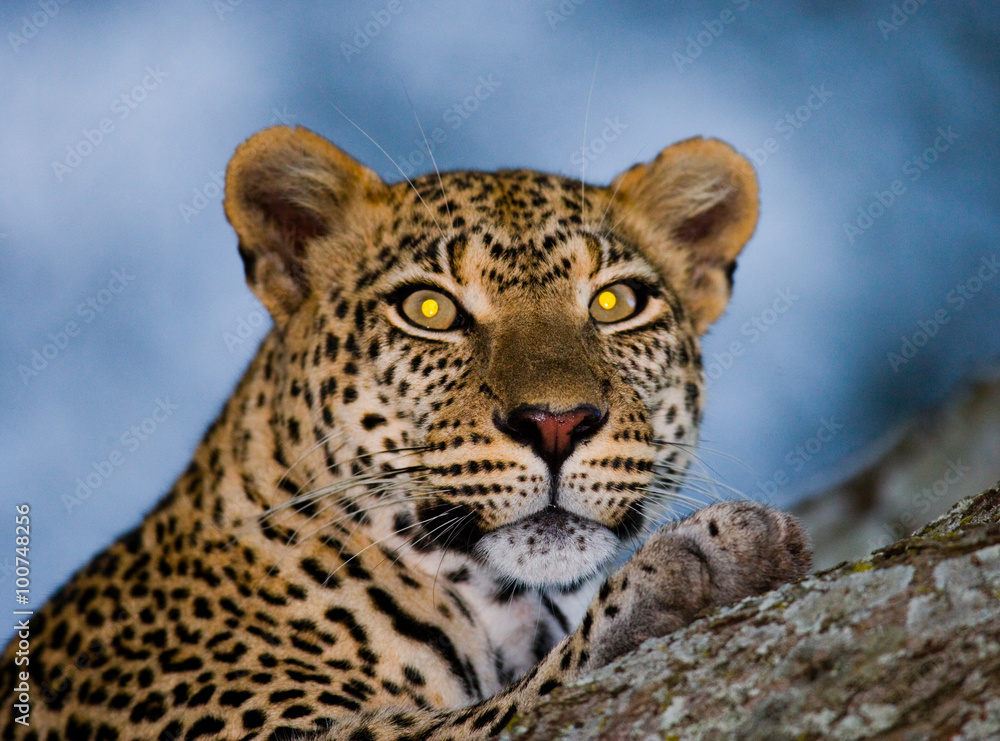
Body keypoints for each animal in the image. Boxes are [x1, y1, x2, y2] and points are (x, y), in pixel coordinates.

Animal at [0, 125, 811, 741]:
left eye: (616, 302)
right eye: (429, 309)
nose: (556, 422)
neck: (497, 607)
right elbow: (511, 708)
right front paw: (697, 569)